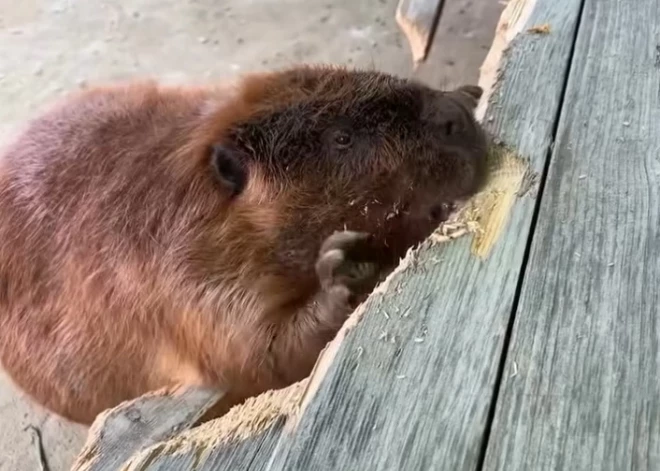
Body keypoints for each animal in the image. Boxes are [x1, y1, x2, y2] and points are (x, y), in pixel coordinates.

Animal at [0, 65, 484, 424]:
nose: (452, 116)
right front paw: (344, 266)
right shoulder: (175, 282)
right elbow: (256, 356)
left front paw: (469, 90)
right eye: (342, 138)